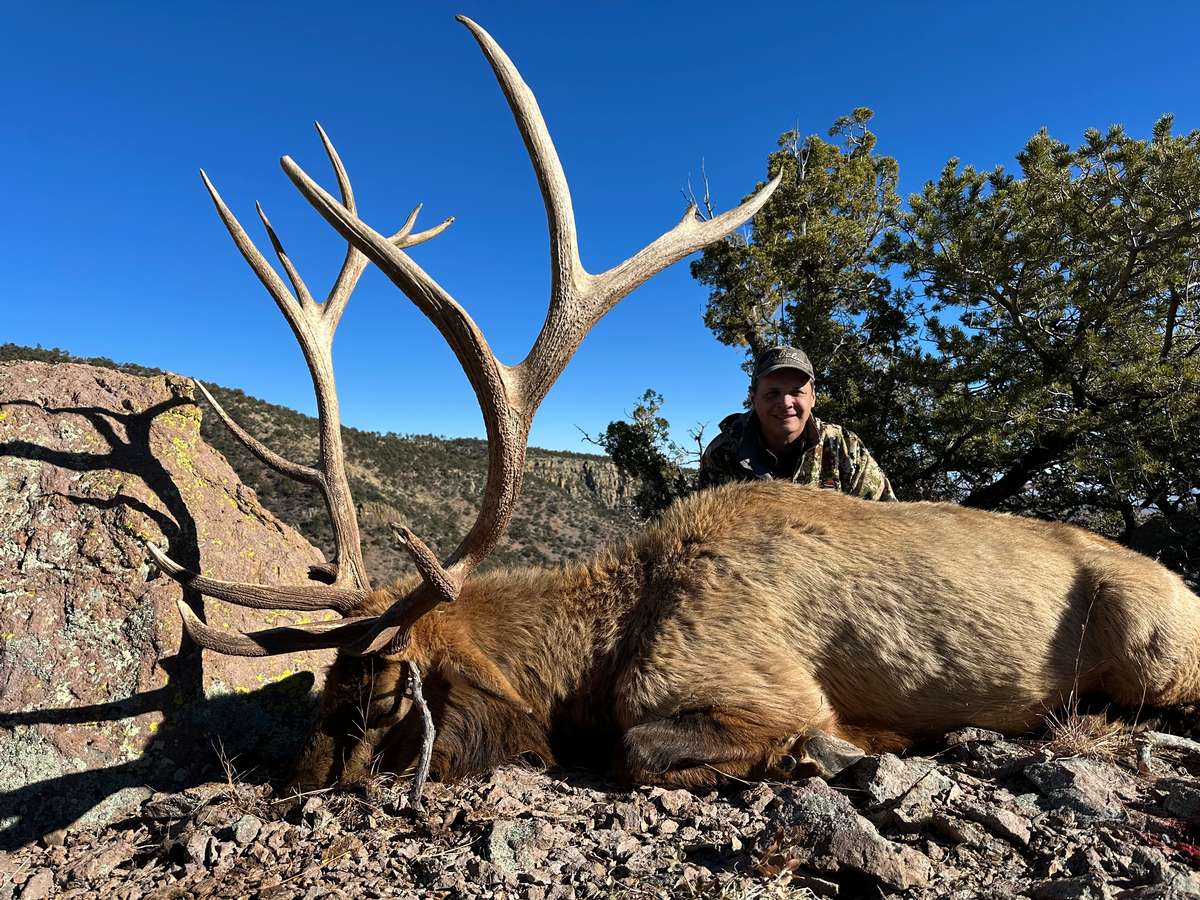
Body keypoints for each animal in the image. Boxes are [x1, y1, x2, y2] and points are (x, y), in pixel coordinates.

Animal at [147, 17, 1200, 801]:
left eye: (370, 701)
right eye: (320, 689)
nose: (290, 785)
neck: (603, 647)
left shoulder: (753, 684)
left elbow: (650, 748)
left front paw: (849, 748)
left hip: (1160, 650)